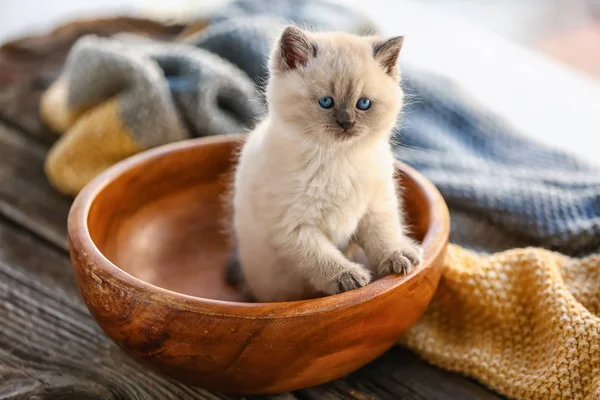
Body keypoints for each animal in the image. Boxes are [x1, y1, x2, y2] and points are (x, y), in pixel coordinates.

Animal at [231, 25, 422, 302]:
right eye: (326, 102)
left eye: (363, 104)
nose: (346, 123)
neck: (338, 158)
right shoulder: (294, 228)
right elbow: (322, 257)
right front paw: (349, 277)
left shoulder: (375, 208)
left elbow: (383, 235)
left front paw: (396, 255)